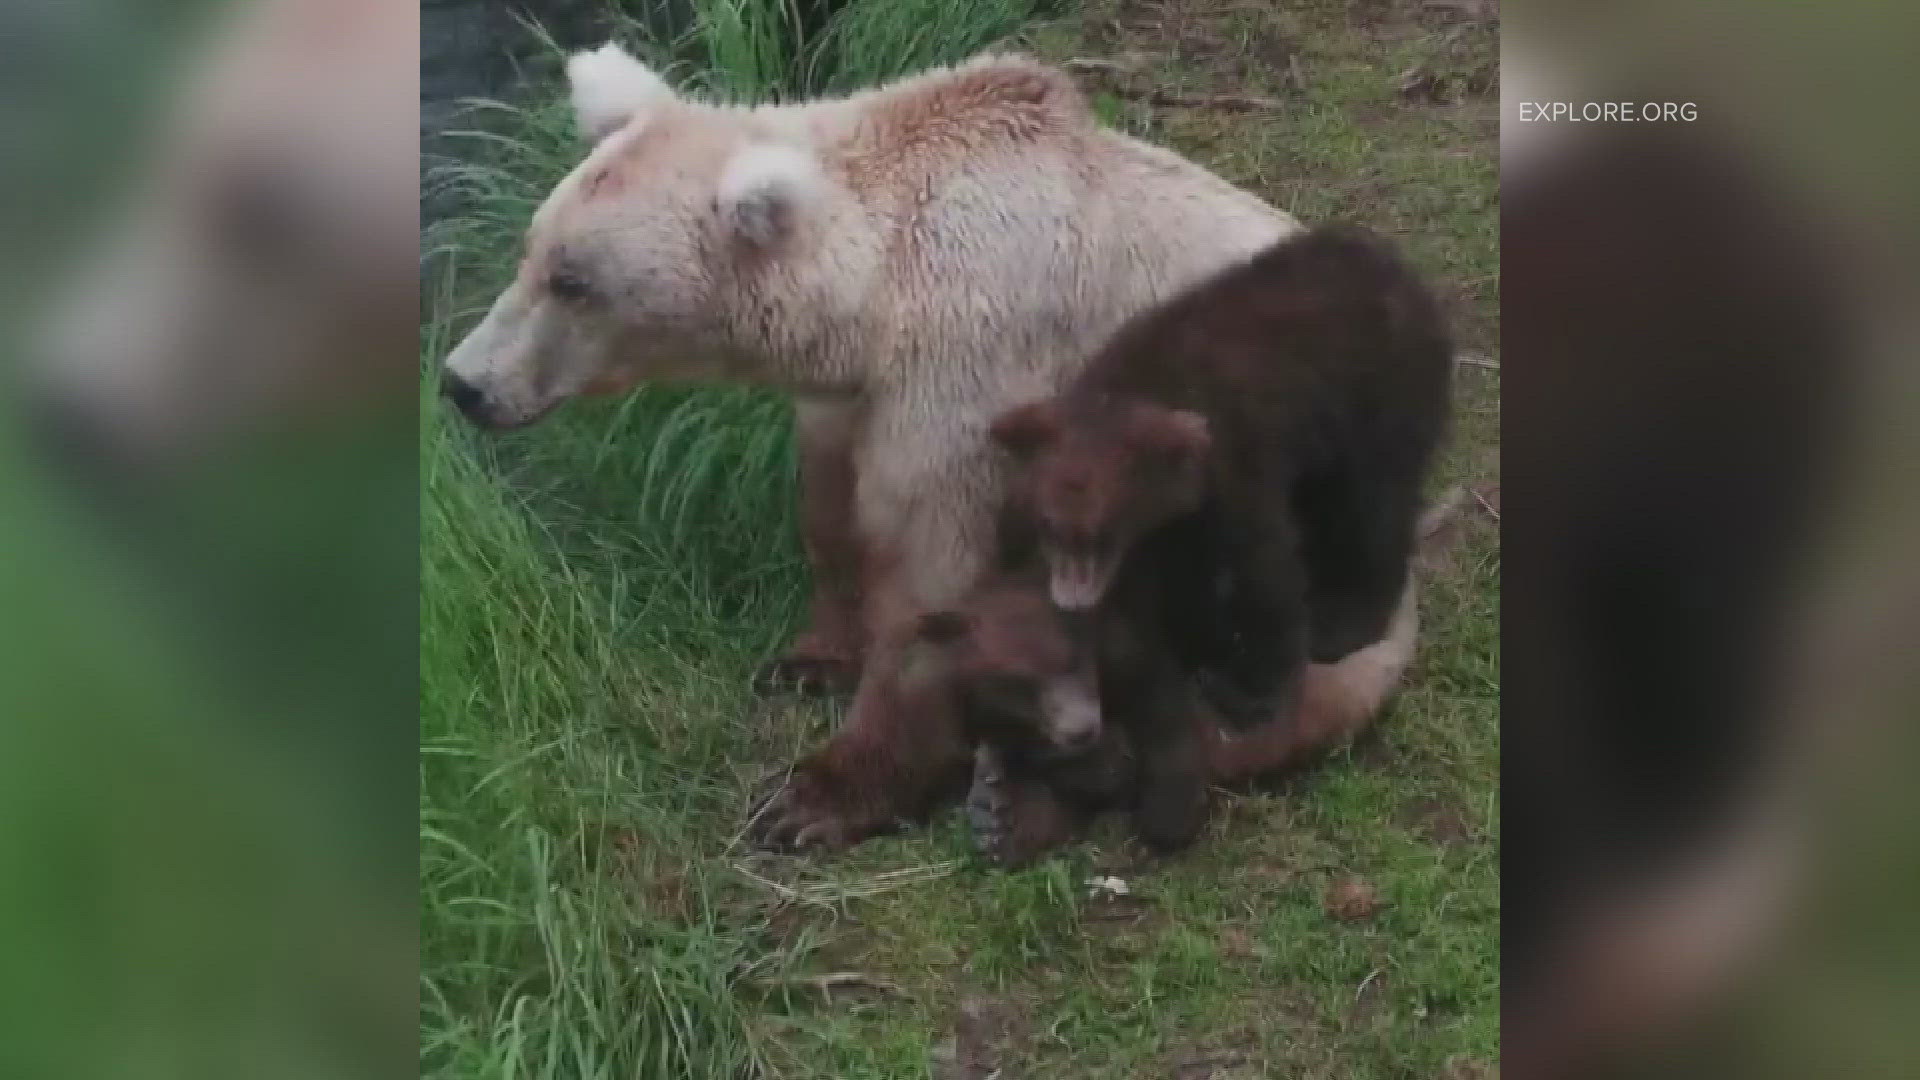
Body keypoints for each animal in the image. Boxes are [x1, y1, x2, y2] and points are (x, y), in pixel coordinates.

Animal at [439, 44, 1297, 849]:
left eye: (574, 281)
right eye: (530, 250)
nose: (463, 382)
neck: (878, 294)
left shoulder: (972, 371)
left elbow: (935, 569)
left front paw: (815, 797)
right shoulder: (854, 396)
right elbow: (835, 510)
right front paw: (809, 658)